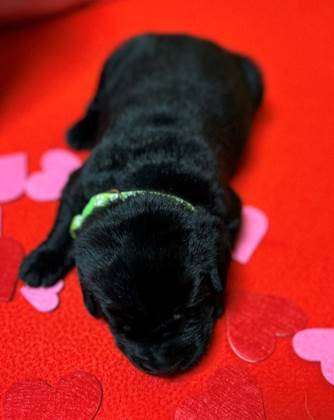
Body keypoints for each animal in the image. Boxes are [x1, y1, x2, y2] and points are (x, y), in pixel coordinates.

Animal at [20, 34, 264, 376]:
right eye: (121, 324)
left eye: (187, 310)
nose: (164, 365)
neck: (151, 174)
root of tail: (185, 36)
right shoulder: (80, 182)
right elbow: (64, 222)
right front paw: (42, 262)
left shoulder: (228, 210)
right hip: (113, 62)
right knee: (96, 99)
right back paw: (80, 130)